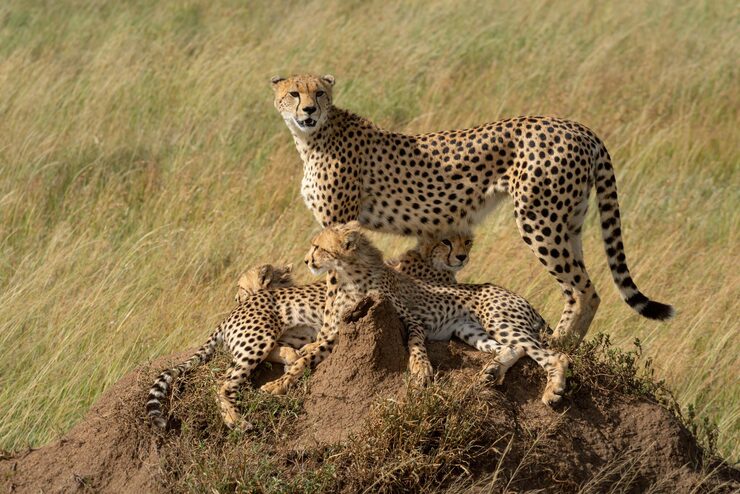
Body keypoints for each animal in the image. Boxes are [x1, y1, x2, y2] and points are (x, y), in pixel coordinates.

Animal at [260, 222, 569, 406]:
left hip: (500, 320)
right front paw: (280, 382)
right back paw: (493, 371)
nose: (306, 260)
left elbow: (415, 343)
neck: (349, 275)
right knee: (513, 348)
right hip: (470, 330)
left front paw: (420, 370)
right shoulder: (344, 327)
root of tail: (520, 297)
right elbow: (307, 357)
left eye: (318, 247)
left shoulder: (410, 319)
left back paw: (552, 390)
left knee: (554, 355)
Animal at [270, 73, 675, 348]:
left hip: (539, 219)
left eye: (319, 93)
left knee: (583, 290)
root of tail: (577, 126)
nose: (309, 110)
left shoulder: (339, 223)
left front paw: (327, 330)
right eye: (294, 93)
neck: (312, 137)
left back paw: (558, 345)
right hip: (569, 219)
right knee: (585, 285)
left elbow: (333, 283)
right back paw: (570, 346)